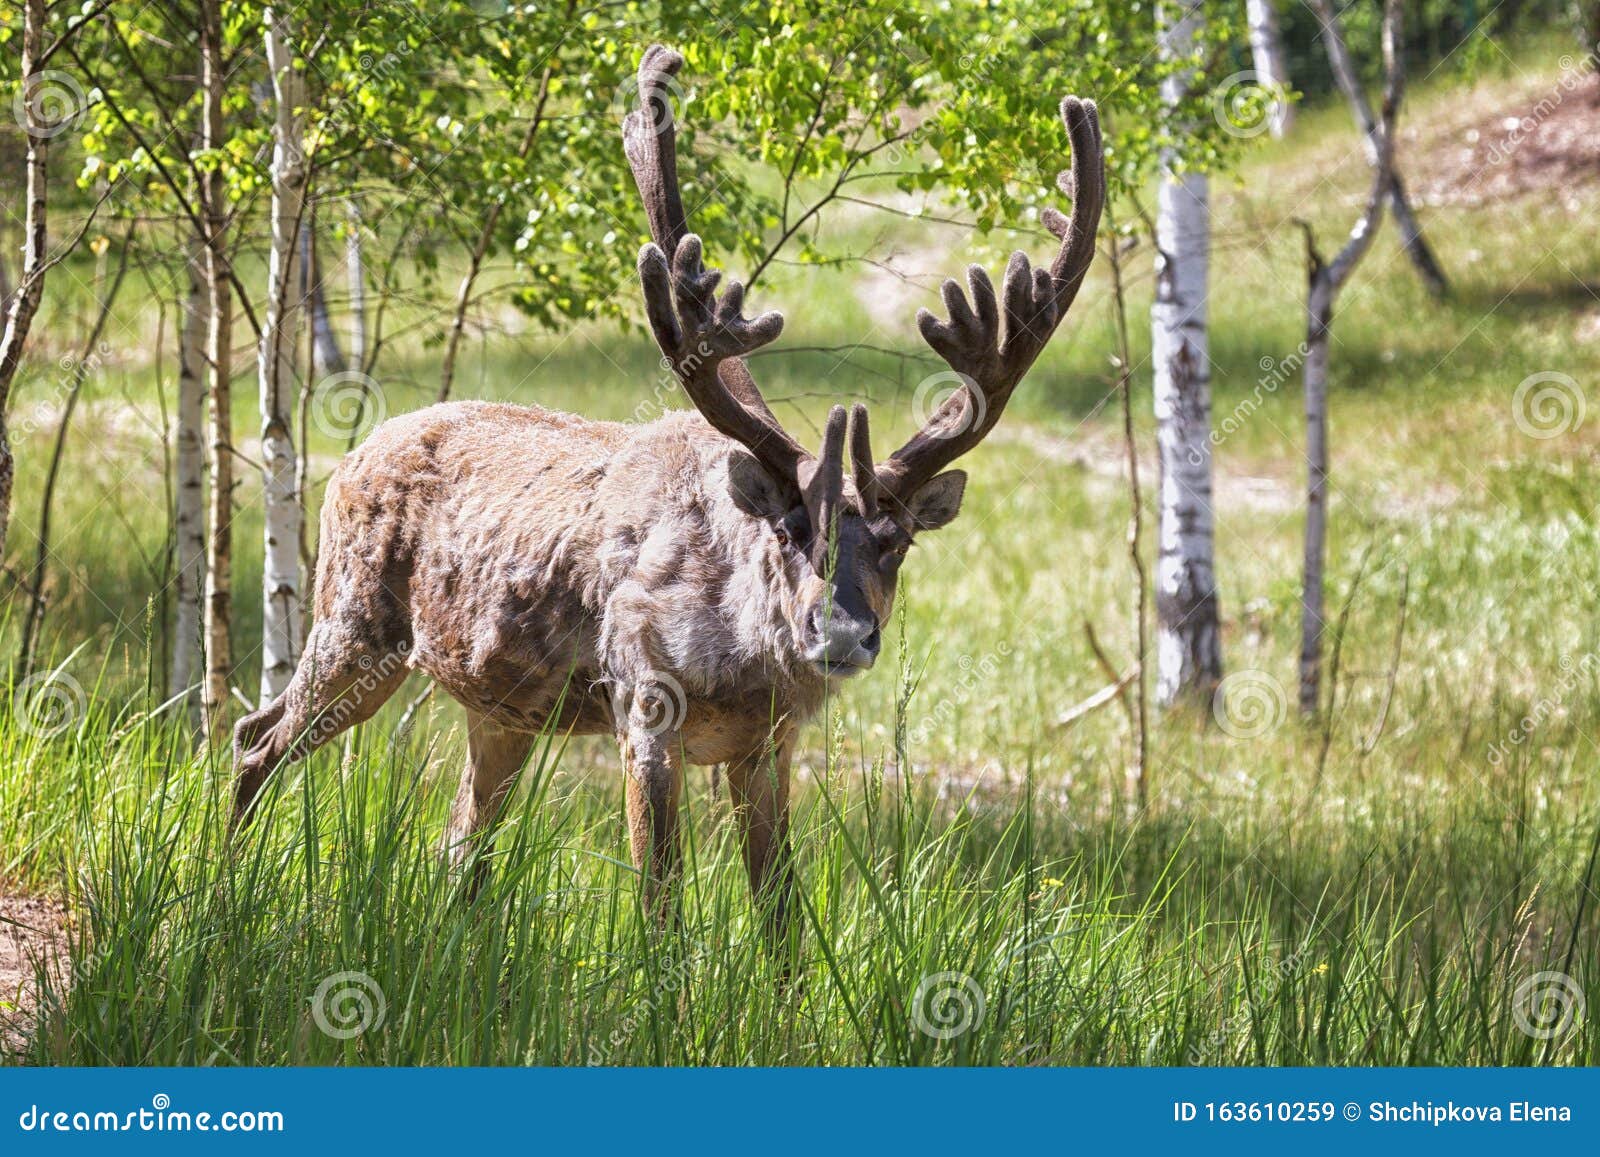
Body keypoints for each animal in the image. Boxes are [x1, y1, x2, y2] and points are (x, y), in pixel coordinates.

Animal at [232, 44, 1104, 951]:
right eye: (790, 527)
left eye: (896, 539)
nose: (840, 632)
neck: (742, 660)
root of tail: (350, 455)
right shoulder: (644, 706)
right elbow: (661, 909)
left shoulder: (769, 747)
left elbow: (783, 917)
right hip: (354, 624)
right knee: (255, 739)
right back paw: (225, 891)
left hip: (499, 712)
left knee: (457, 841)